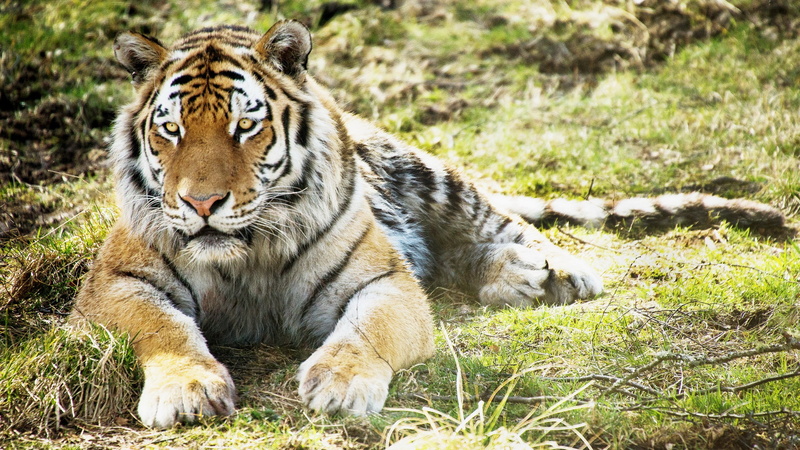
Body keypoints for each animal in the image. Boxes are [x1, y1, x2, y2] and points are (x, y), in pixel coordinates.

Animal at [69, 21, 784, 429]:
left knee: (499, 220)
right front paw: (188, 391)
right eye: (171, 130)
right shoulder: (115, 282)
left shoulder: (383, 279)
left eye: (246, 125)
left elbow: (367, 330)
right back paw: (514, 279)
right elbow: (162, 325)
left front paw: (340, 385)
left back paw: (554, 271)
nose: (202, 204)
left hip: (427, 172)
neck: (245, 251)